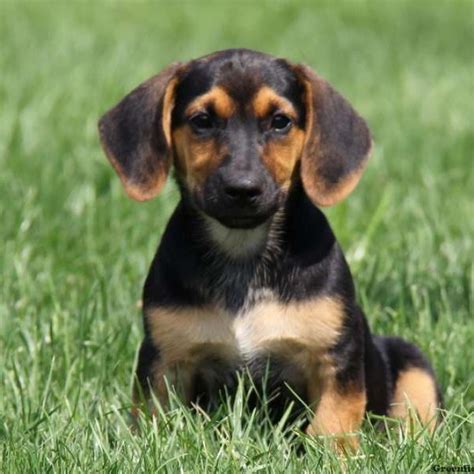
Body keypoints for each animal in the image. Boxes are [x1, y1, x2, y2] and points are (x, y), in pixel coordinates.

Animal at [98, 49, 442, 452]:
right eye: (202, 121)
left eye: (280, 122)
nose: (242, 188)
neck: (243, 250)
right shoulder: (164, 359)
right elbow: (154, 421)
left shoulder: (336, 360)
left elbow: (332, 424)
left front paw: (332, 456)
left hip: (414, 366)